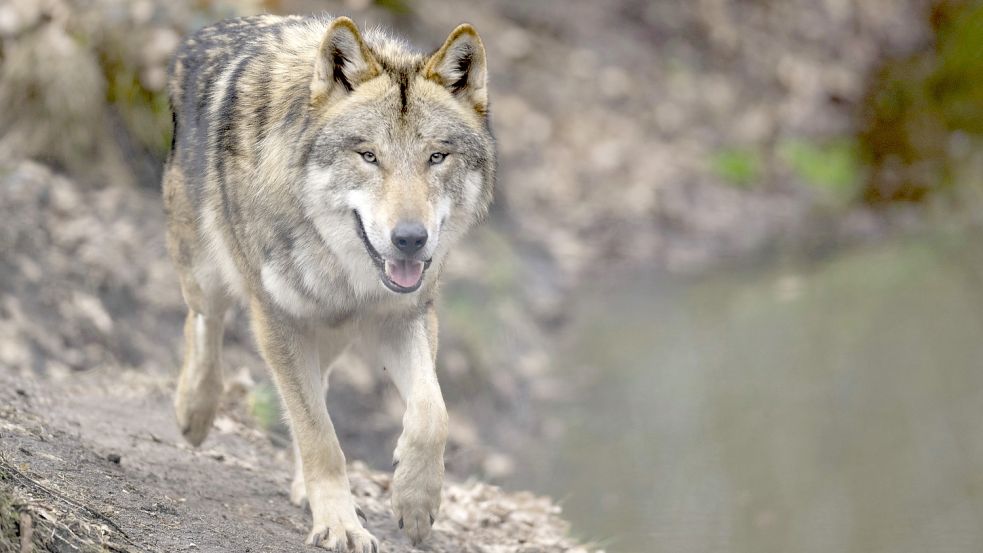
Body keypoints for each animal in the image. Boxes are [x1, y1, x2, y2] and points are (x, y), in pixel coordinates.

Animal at [162, 13, 494, 551]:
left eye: (437, 157)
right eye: (368, 156)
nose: (410, 240)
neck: (346, 269)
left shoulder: (405, 317)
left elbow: (432, 414)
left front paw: (414, 502)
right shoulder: (277, 321)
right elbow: (319, 435)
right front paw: (340, 523)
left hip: (332, 332)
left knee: (319, 382)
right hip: (207, 274)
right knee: (204, 324)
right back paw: (194, 409)